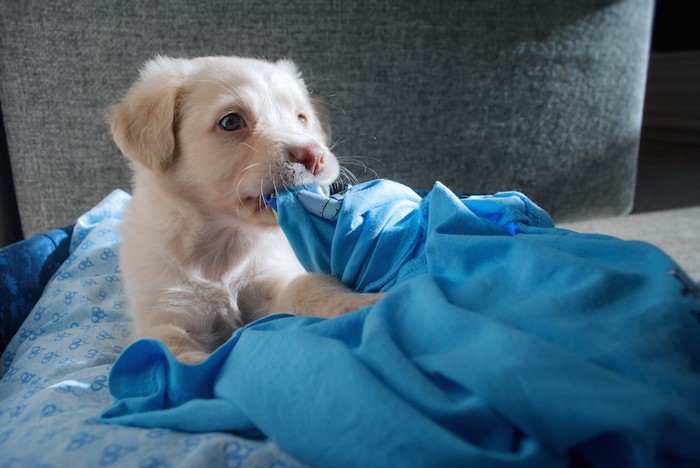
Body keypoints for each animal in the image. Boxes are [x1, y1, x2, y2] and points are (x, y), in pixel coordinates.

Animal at [111, 56, 380, 364]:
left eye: (301, 118)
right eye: (231, 121)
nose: (316, 157)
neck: (224, 244)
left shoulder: (272, 283)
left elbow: (308, 287)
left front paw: (362, 303)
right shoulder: (165, 316)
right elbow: (178, 356)